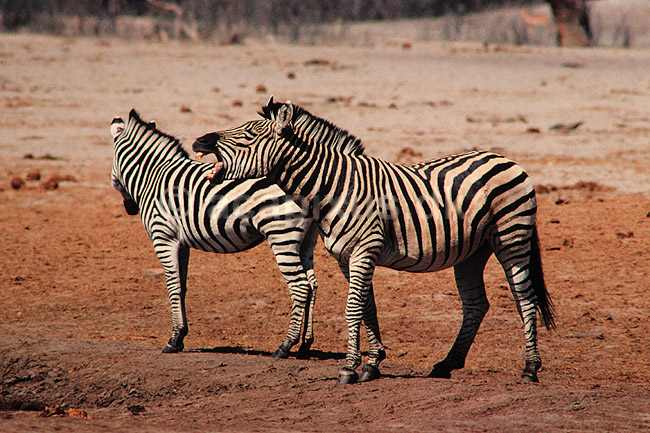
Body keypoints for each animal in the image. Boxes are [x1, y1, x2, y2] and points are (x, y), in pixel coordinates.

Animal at [110, 108, 320, 359]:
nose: (131, 209)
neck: (153, 176)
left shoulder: (163, 237)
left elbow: (172, 285)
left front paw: (174, 339)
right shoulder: (181, 243)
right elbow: (182, 285)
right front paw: (181, 335)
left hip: (282, 234)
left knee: (300, 286)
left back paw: (285, 345)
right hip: (305, 241)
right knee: (312, 285)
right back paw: (305, 345)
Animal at [192, 96, 555, 385]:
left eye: (248, 134)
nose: (199, 141)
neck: (335, 187)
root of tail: (506, 159)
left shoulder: (364, 251)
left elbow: (353, 308)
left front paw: (349, 369)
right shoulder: (346, 257)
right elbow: (367, 307)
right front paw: (372, 363)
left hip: (511, 237)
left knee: (524, 298)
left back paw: (529, 369)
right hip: (472, 252)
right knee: (476, 305)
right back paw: (446, 365)